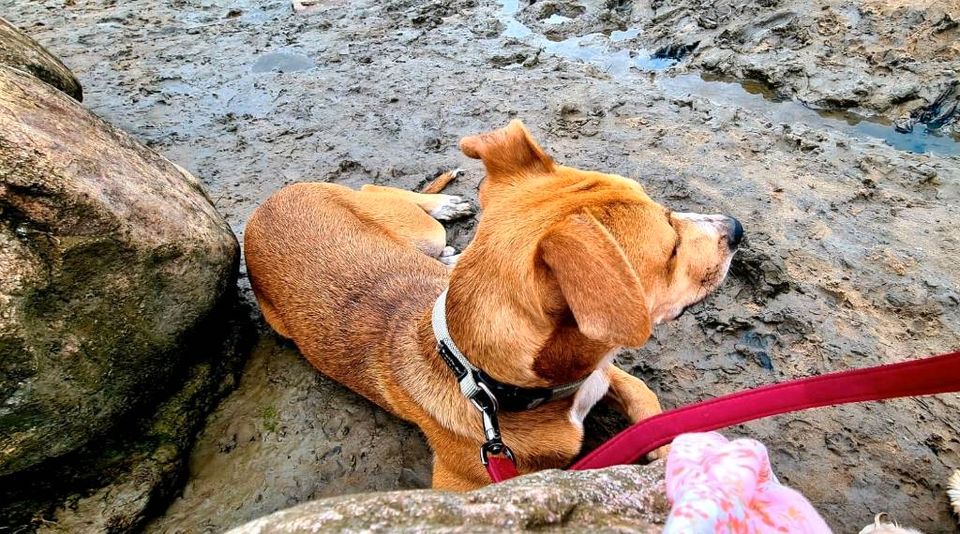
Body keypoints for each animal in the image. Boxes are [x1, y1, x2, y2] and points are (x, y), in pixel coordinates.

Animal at [242, 120, 744, 490]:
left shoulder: (604, 369)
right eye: (672, 248)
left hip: (415, 233)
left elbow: (647, 401)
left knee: (377, 191)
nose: (736, 228)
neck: (489, 385)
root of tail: (265, 207)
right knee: (374, 191)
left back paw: (446, 209)